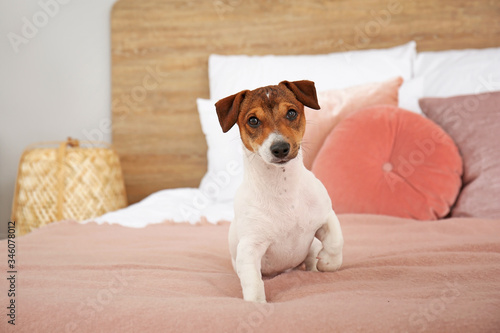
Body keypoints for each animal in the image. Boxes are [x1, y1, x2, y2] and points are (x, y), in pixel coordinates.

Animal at [215, 80, 344, 300]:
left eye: (291, 113)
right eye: (253, 120)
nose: (280, 148)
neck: (283, 187)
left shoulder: (326, 215)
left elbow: (336, 240)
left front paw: (328, 262)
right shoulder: (250, 248)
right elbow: (253, 283)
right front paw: (256, 302)